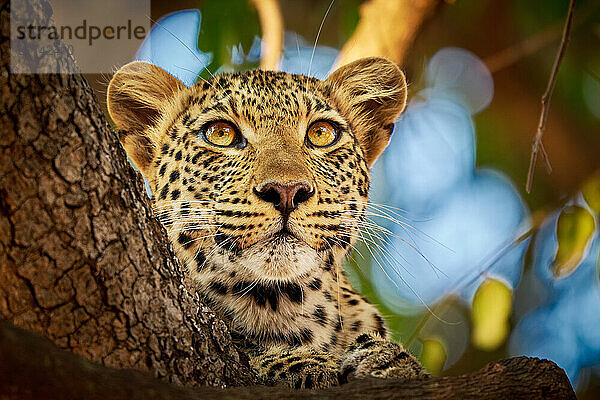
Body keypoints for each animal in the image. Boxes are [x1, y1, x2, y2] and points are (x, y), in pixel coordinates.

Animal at [106, 57, 426, 390]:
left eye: (322, 133)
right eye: (220, 134)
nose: (286, 191)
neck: (286, 305)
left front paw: (388, 361)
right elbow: (252, 350)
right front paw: (304, 364)